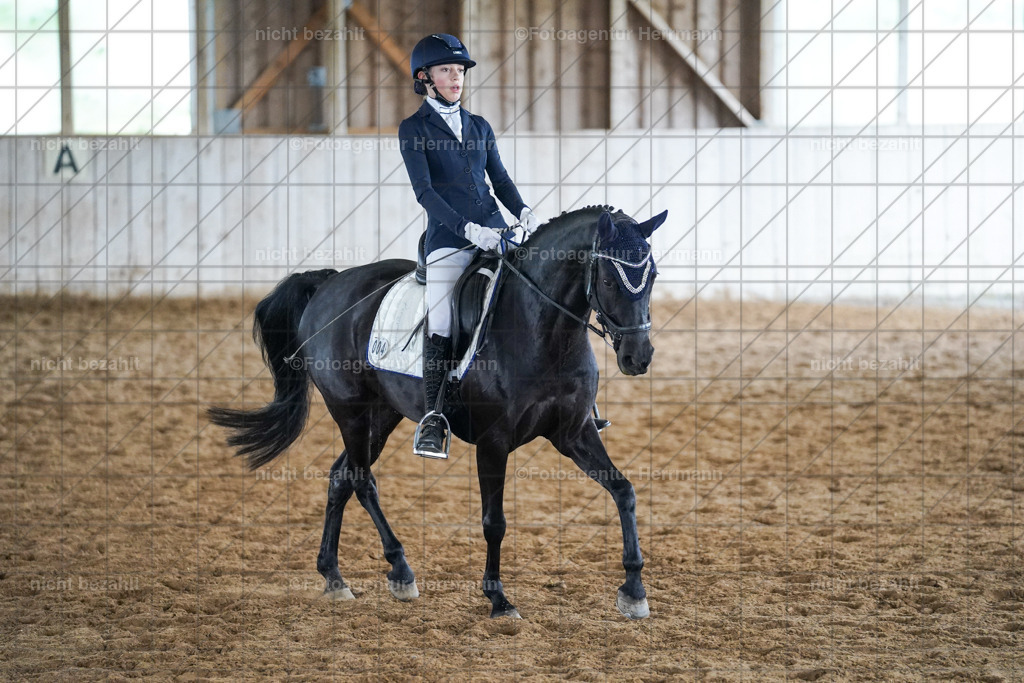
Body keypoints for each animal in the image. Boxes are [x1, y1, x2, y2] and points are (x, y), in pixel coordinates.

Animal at [208, 205, 668, 619]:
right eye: (607, 278)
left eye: (653, 277)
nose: (639, 357)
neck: (544, 330)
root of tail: (330, 283)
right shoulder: (493, 442)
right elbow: (494, 521)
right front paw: (498, 599)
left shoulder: (574, 432)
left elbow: (624, 491)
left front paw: (634, 591)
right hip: (350, 411)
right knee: (361, 479)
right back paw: (401, 571)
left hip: (383, 414)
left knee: (341, 477)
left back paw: (335, 578)